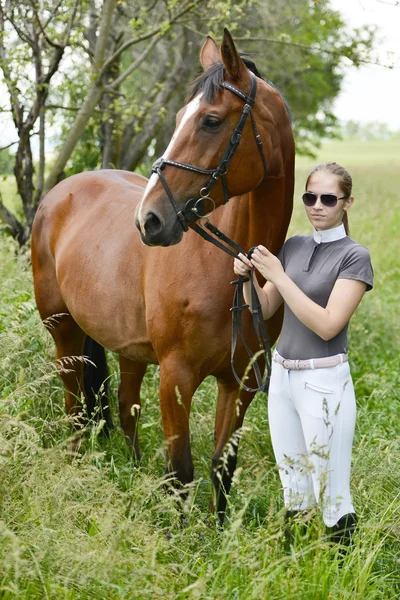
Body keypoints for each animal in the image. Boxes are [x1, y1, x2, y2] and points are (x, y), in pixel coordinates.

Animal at [30, 28, 294, 516]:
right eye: (179, 117)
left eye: (211, 121)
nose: (148, 221)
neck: (227, 268)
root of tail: (62, 190)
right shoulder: (176, 378)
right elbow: (180, 474)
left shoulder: (241, 382)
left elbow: (221, 468)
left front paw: (215, 532)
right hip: (64, 332)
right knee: (75, 407)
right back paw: (75, 468)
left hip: (128, 349)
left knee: (125, 407)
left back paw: (131, 474)